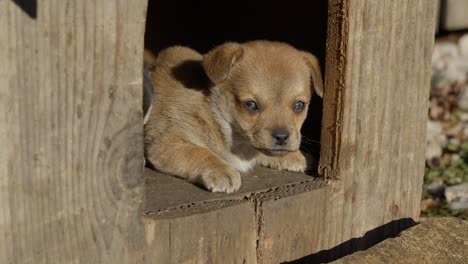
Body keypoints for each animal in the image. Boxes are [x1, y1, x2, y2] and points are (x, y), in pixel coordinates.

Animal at [144, 40, 324, 193]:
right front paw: (221, 170)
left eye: (299, 105)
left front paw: (294, 156)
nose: (281, 137)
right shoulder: (165, 142)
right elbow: (198, 151)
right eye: (251, 105)